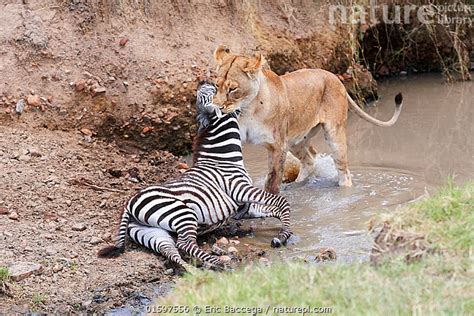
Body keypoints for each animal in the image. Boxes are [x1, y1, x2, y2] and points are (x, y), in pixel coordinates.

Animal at [98, 81, 292, 270]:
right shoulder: (238, 188)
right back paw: (220, 263)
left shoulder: (242, 208)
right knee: (184, 244)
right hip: (182, 213)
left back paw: (194, 273)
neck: (222, 158)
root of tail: (129, 203)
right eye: (215, 89)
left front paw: (283, 232)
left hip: (149, 231)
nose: (202, 82)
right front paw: (284, 235)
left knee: (170, 250)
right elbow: (281, 202)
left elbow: (275, 209)